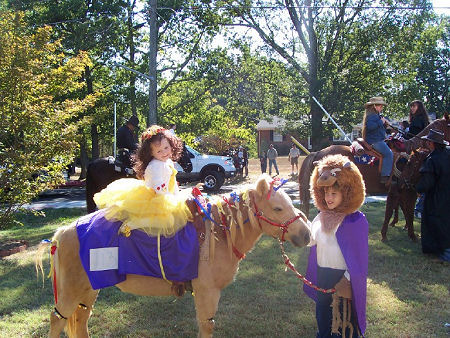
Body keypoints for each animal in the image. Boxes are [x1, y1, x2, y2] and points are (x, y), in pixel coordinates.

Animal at [36, 174, 310, 338]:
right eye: (278, 208)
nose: (306, 234)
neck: (219, 234)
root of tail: (61, 234)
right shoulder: (207, 292)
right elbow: (207, 326)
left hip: (88, 289)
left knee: (80, 319)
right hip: (72, 291)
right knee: (57, 319)